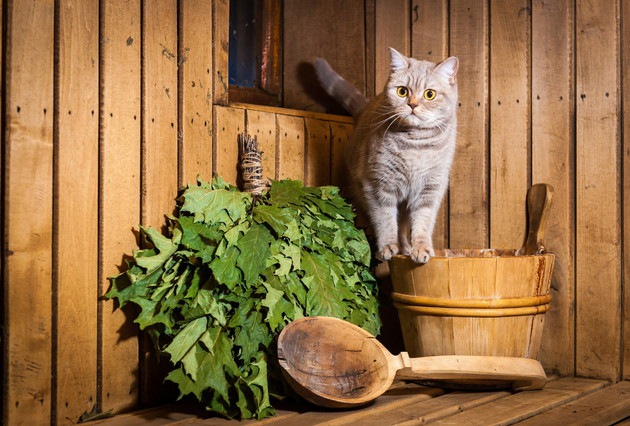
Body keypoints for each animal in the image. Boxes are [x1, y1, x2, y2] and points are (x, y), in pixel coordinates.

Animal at [316, 49, 460, 262]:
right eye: (402, 91)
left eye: (430, 94)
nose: (413, 105)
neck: (415, 146)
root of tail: (366, 107)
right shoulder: (377, 186)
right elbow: (385, 220)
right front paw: (388, 247)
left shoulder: (430, 189)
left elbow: (423, 222)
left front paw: (421, 248)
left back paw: (407, 248)